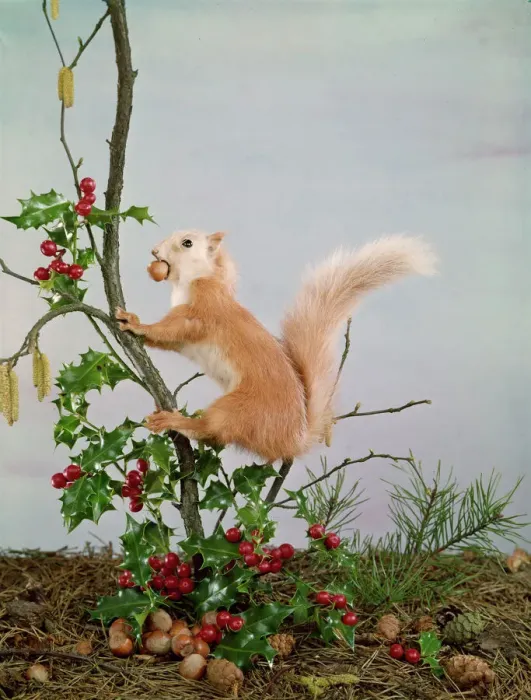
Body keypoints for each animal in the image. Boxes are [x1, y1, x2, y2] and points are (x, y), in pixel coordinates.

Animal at [116, 231, 436, 463]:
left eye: (187, 243)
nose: (154, 251)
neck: (192, 282)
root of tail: (291, 441)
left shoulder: (203, 312)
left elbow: (173, 328)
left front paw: (137, 324)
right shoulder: (185, 335)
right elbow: (167, 340)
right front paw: (135, 328)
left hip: (239, 409)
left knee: (211, 431)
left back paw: (174, 420)